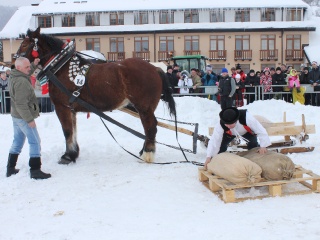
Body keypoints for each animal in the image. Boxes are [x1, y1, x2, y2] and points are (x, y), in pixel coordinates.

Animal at [14, 27, 175, 164]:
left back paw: (147, 154)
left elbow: (67, 131)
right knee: (150, 129)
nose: (14, 63)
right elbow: (73, 131)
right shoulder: (71, 109)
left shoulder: (62, 107)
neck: (60, 66)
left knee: (150, 128)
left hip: (144, 107)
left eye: (24, 45)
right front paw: (73, 153)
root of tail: (154, 68)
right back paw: (143, 152)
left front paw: (67, 156)